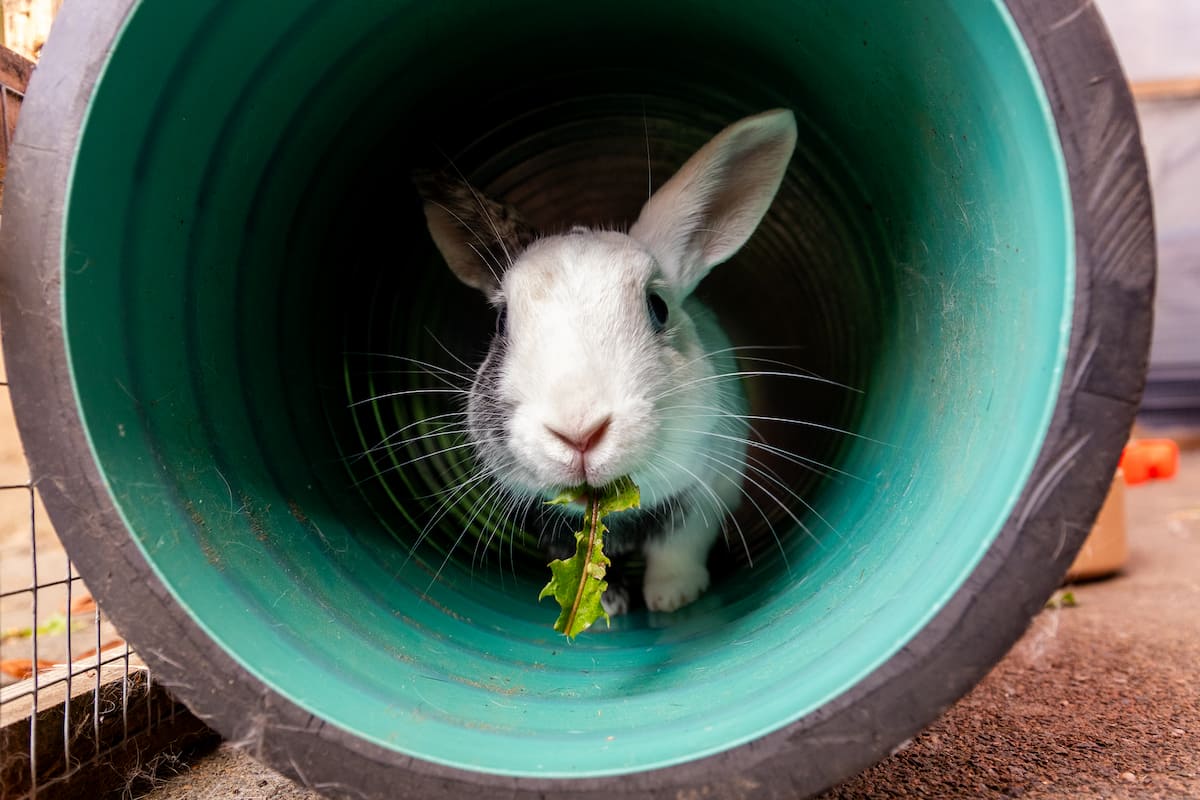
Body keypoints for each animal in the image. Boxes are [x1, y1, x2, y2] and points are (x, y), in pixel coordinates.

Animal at [415, 109, 797, 613]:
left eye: (658, 307)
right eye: (500, 322)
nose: (578, 433)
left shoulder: (706, 493)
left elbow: (680, 548)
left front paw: (672, 599)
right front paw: (607, 609)